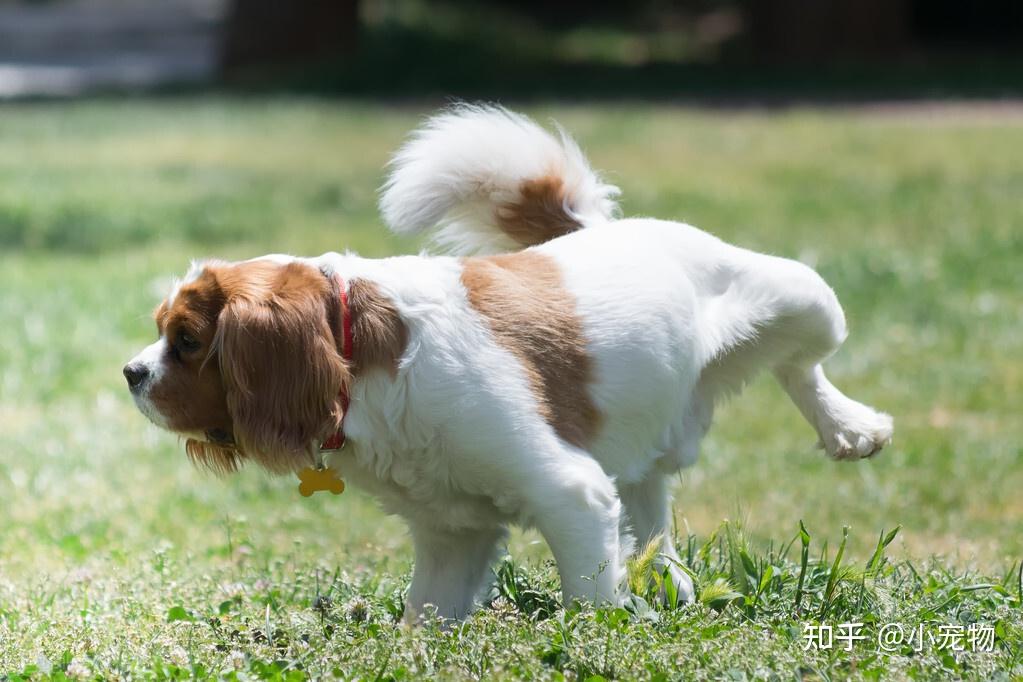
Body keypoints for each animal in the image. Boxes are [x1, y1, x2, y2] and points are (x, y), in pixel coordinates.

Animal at [123, 104, 892, 621]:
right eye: (162, 333)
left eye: (186, 340)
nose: (131, 373)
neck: (363, 362)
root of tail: (603, 230)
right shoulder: (451, 537)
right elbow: (425, 617)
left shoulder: (570, 494)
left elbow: (589, 603)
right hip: (644, 442)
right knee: (651, 510)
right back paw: (666, 582)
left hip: (802, 296)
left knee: (803, 362)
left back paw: (850, 428)